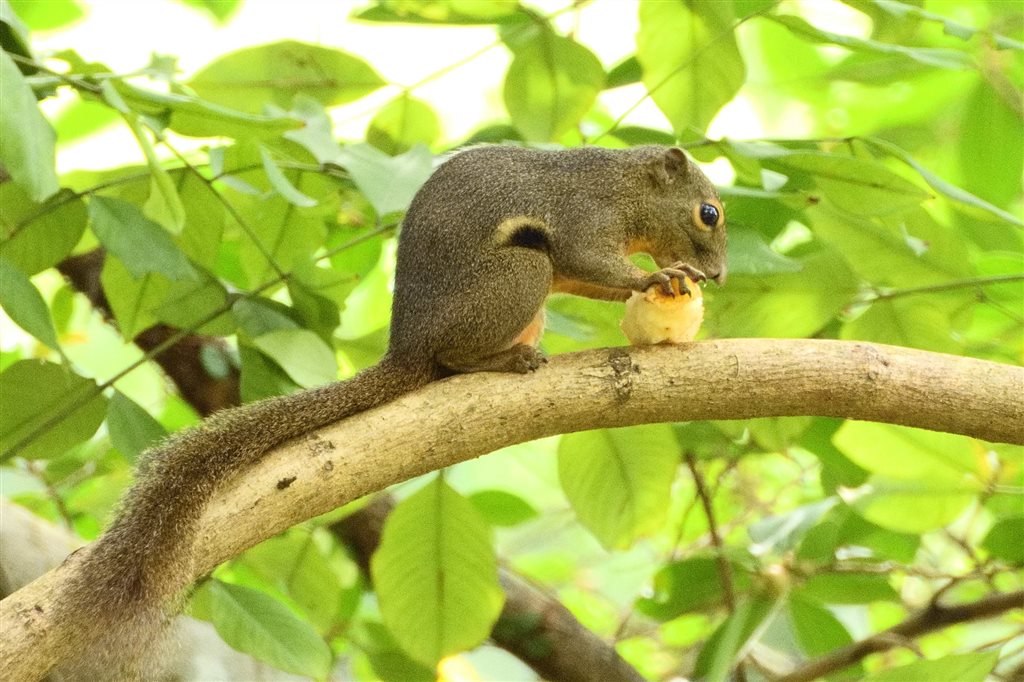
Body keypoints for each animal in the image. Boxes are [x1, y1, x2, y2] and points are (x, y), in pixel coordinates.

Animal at [49, 142, 729, 675]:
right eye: (708, 212)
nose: (720, 274)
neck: (619, 187)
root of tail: (410, 346)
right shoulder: (582, 222)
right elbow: (594, 264)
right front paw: (655, 277)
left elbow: (591, 280)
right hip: (518, 275)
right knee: (453, 357)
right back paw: (501, 361)